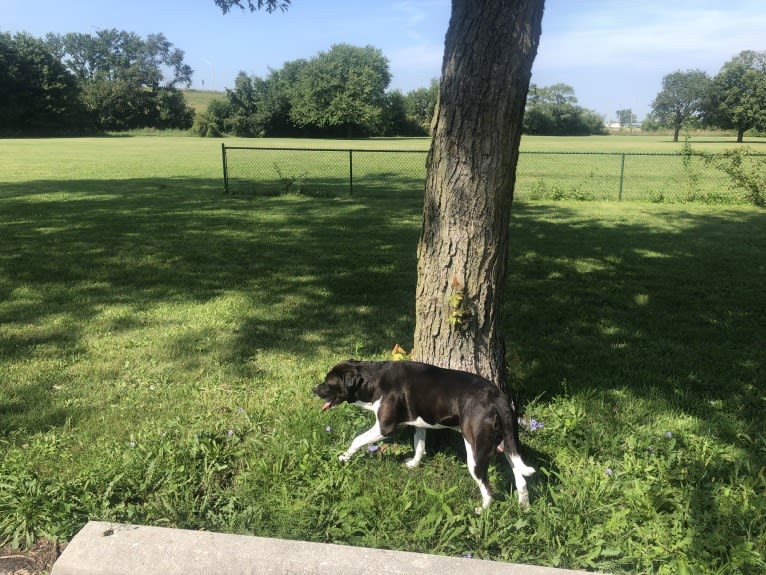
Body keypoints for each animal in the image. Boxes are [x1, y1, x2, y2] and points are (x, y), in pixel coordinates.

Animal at [312, 360, 536, 508]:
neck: (373, 379)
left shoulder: (385, 427)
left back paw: (482, 511)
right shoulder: (419, 423)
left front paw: (344, 457)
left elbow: (357, 439)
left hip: (475, 453)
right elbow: (419, 445)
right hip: (507, 445)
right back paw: (523, 507)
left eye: (328, 383)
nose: (314, 390)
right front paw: (414, 464)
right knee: (521, 478)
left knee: (488, 489)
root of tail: (498, 398)